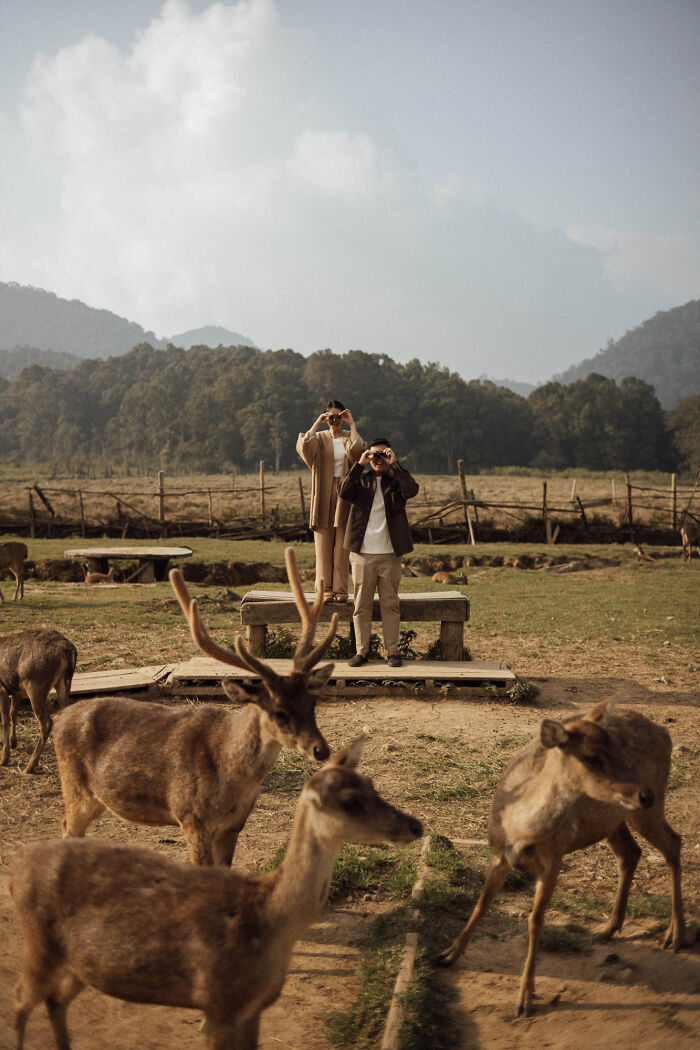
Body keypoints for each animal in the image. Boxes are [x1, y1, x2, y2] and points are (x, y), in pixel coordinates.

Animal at [0, 629, 77, 773]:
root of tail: (67, 649)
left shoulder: (1, 688)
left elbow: (5, 720)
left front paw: (4, 758)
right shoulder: (17, 690)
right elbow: (13, 713)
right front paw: (13, 742)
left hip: (34, 683)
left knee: (47, 723)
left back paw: (30, 766)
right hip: (63, 682)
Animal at [11, 736, 423, 1050]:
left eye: (372, 784)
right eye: (351, 801)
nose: (415, 825)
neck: (266, 923)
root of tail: (18, 866)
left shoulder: (252, 1008)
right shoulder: (219, 1002)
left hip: (80, 963)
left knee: (54, 1000)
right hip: (38, 942)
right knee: (20, 1000)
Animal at [54, 547, 338, 866]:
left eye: (312, 702)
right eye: (279, 712)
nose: (321, 749)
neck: (230, 775)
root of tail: (59, 718)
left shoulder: (233, 826)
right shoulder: (191, 817)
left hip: (97, 798)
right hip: (74, 785)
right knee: (66, 827)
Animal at [436, 699, 692, 1018]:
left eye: (618, 748)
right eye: (591, 757)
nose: (645, 794)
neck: (521, 831)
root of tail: (665, 733)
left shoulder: (554, 859)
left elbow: (535, 920)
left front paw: (525, 1000)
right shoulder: (497, 853)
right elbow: (481, 904)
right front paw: (447, 955)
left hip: (644, 812)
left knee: (673, 843)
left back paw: (675, 935)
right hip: (612, 819)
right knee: (631, 852)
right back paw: (608, 929)